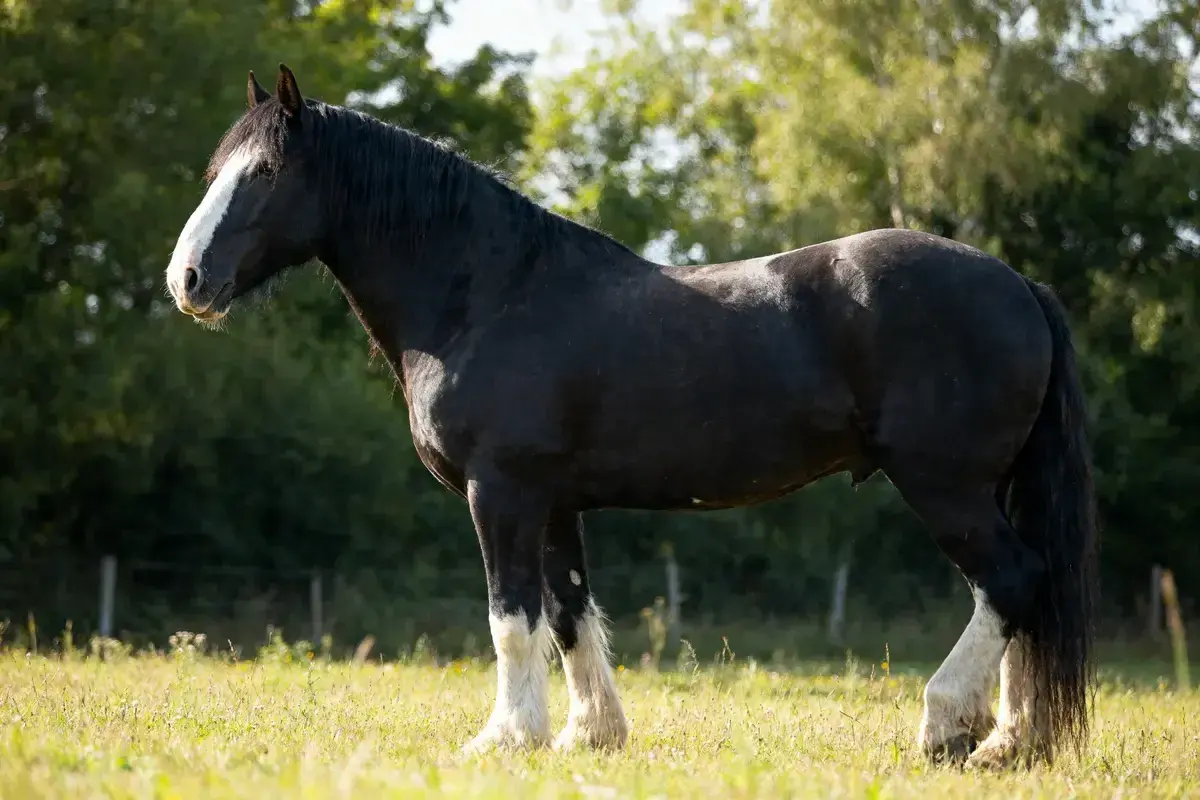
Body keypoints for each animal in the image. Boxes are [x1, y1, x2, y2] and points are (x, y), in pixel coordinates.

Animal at [164, 64, 1098, 769]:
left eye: (266, 173)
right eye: (218, 170)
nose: (188, 281)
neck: (487, 294)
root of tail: (1018, 285)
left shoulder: (501, 492)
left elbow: (511, 619)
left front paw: (505, 738)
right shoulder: (555, 504)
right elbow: (569, 613)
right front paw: (590, 735)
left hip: (946, 485)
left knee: (1010, 582)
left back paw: (952, 728)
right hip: (984, 488)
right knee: (1024, 598)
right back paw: (1010, 741)